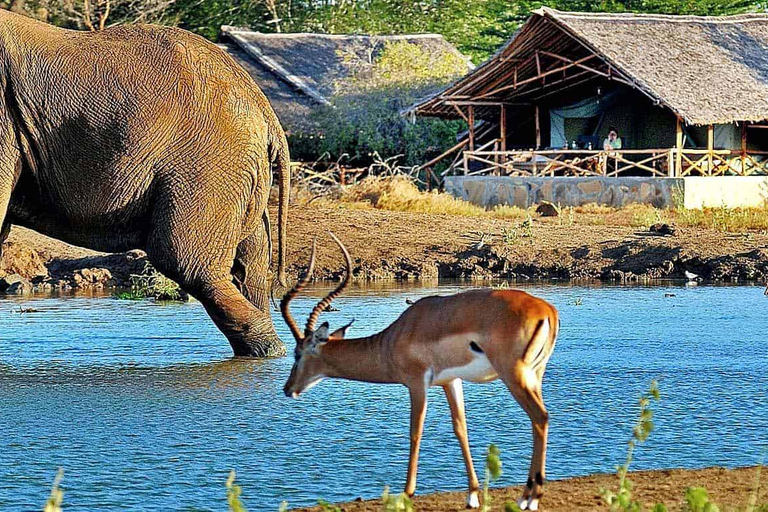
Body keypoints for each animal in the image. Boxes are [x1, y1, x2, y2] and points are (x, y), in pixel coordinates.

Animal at [282, 234, 560, 510]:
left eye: (298, 354)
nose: (288, 389)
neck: (394, 338)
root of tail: (547, 310)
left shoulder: (416, 383)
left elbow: (415, 431)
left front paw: (407, 493)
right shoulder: (451, 381)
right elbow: (460, 428)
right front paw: (472, 495)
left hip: (514, 375)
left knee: (540, 417)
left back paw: (530, 498)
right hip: (535, 375)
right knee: (539, 420)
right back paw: (528, 495)